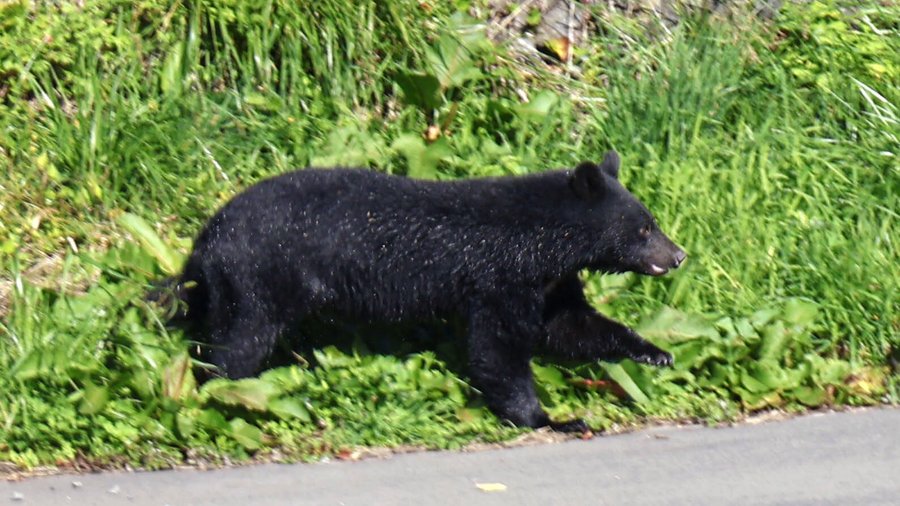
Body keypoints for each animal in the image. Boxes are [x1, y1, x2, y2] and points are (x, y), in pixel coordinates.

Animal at [167, 150, 686, 433]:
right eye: (644, 228)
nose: (678, 254)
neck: (542, 240)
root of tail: (205, 240)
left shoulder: (550, 282)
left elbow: (570, 325)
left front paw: (654, 351)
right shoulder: (499, 278)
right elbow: (498, 349)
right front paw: (548, 419)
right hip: (257, 278)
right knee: (238, 343)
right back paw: (220, 396)